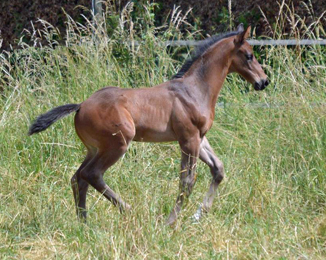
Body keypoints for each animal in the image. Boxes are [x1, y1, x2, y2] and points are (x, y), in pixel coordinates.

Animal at [28, 25, 268, 224]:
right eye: (249, 56)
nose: (263, 81)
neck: (195, 89)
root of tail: (80, 106)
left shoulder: (199, 138)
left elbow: (218, 169)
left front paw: (198, 215)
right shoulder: (188, 139)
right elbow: (187, 181)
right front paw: (170, 222)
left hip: (94, 148)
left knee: (78, 176)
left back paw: (84, 222)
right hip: (118, 144)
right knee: (92, 174)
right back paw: (127, 210)